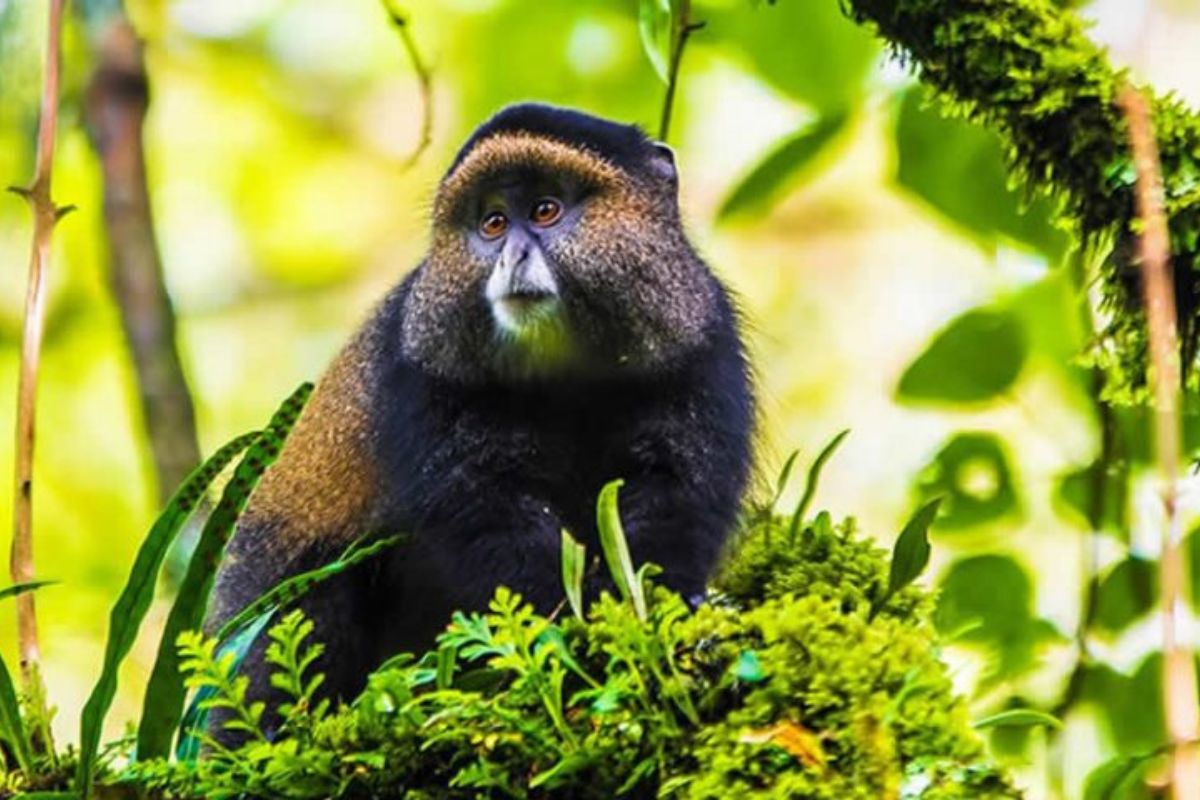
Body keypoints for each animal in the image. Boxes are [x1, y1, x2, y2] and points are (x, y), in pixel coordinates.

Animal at [205, 102, 755, 730]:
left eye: (545, 211)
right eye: (492, 223)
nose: (512, 255)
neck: (566, 373)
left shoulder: (702, 347)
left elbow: (675, 492)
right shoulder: (424, 376)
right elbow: (486, 516)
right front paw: (565, 627)